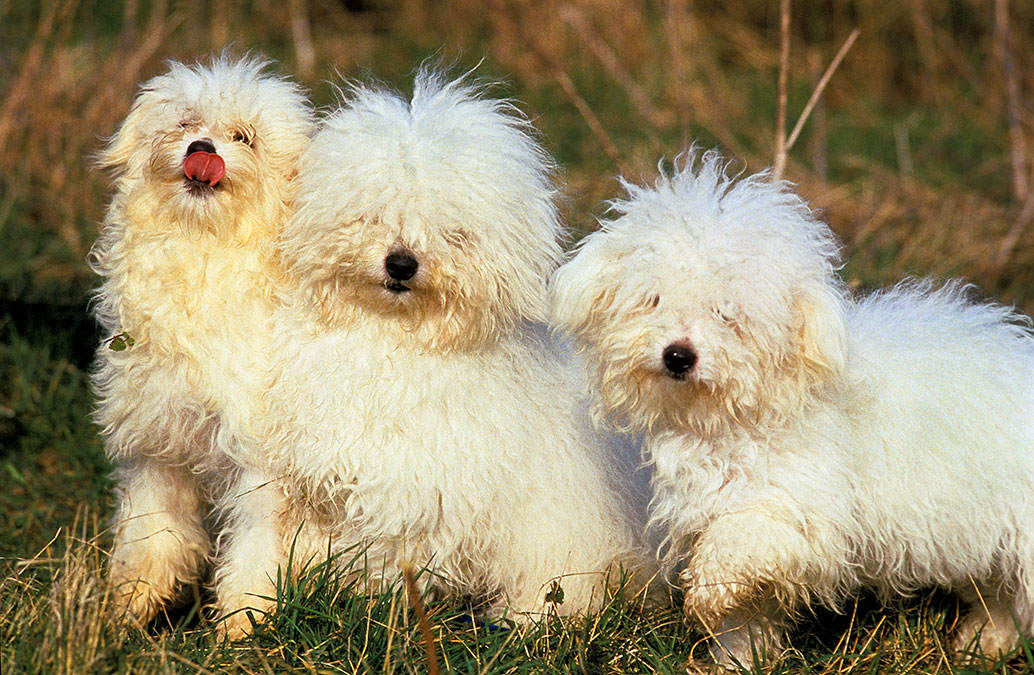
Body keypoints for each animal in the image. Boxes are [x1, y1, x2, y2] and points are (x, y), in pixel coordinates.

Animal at [90, 54, 312, 632]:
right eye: (186, 123)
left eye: (244, 137)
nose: (201, 151)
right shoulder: (155, 450)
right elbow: (149, 539)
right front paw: (125, 614)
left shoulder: (261, 465)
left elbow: (255, 551)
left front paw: (240, 627)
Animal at [550, 148, 1034, 669]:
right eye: (653, 299)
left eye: (728, 314)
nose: (678, 356)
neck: (742, 416)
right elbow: (746, 617)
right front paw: (735, 662)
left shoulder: (801, 515)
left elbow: (735, 543)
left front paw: (704, 594)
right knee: (1004, 604)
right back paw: (981, 645)